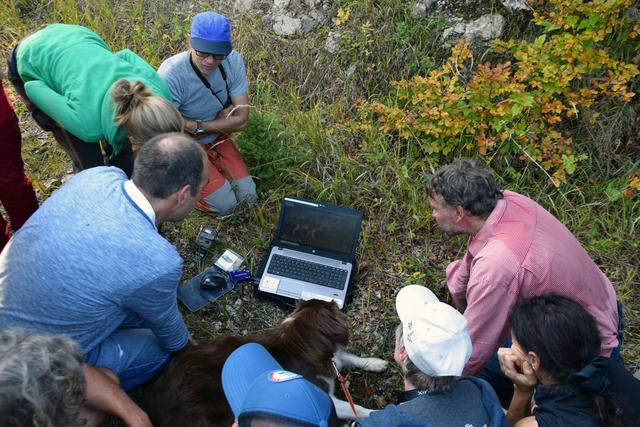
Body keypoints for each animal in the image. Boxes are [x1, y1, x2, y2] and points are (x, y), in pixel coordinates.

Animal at [146, 298, 384, 427]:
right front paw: (375, 414)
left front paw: (376, 363)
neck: (302, 339)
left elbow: (351, 357)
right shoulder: (321, 397)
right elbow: (357, 408)